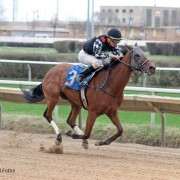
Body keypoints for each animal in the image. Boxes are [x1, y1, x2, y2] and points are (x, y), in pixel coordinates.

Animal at [22, 45, 155, 149]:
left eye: (144, 53)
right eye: (137, 55)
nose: (152, 67)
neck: (109, 85)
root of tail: (50, 71)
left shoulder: (111, 111)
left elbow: (120, 130)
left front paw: (101, 142)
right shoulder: (93, 111)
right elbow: (88, 133)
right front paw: (73, 135)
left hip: (75, 103)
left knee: (70, 120)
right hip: (53, 98)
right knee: (48, 115)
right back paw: (59, 137)